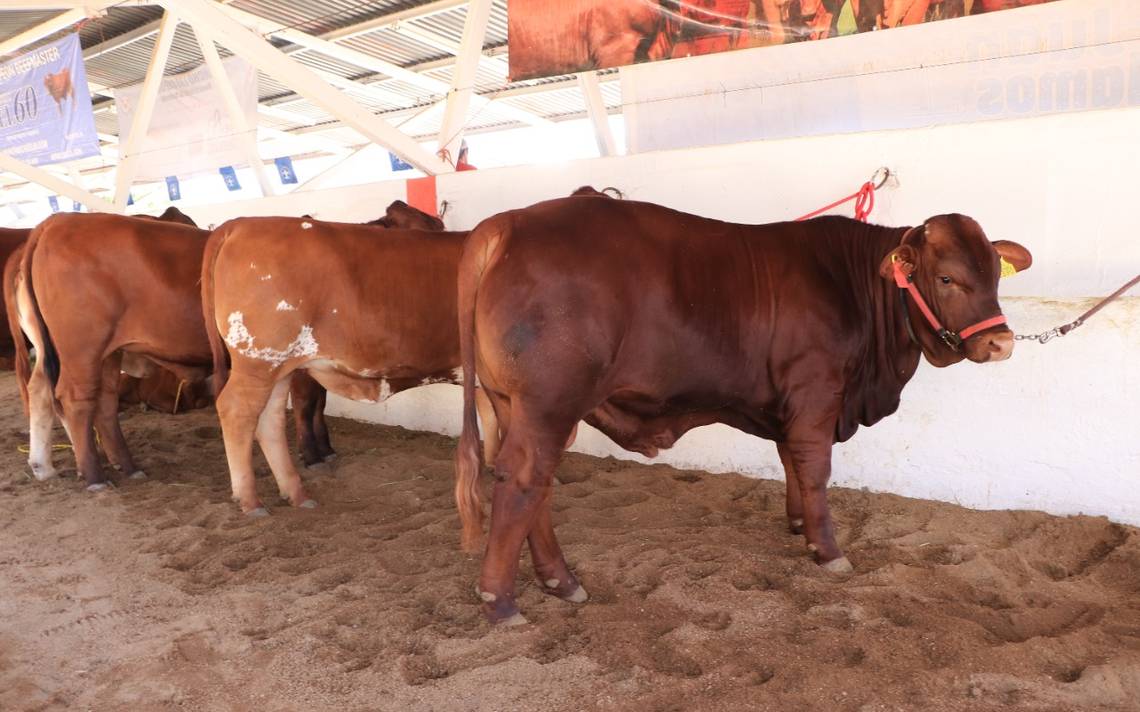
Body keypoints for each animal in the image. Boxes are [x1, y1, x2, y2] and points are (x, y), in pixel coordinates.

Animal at [453, 195, 1035, 619]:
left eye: (995, 275)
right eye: (946, 278)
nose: (1002, 343)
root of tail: (508, 223)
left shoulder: (790, 406)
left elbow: (791, 461)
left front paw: (800, 525)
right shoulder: (816, 393)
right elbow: (816, 468)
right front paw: (828, 550)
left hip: (517, 405)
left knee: (538, 488)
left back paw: (560, 580)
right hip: (548, 404)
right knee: (522, 481)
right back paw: (501, 600)